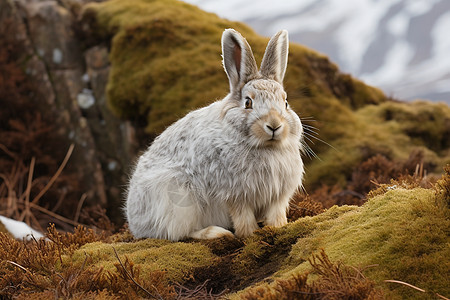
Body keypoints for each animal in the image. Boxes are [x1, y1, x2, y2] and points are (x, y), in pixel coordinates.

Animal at [125, 29, 304, 240]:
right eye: (248, 103)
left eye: (285, 103)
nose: (274, 125)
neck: (266, 147)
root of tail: (135, 222)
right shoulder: (235, 194)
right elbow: (243, 217)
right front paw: (249, 234)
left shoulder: (278, 196)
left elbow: (275, 215)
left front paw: (278, 227)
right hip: (179, 199)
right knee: (180, 233)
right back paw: (217, 233)